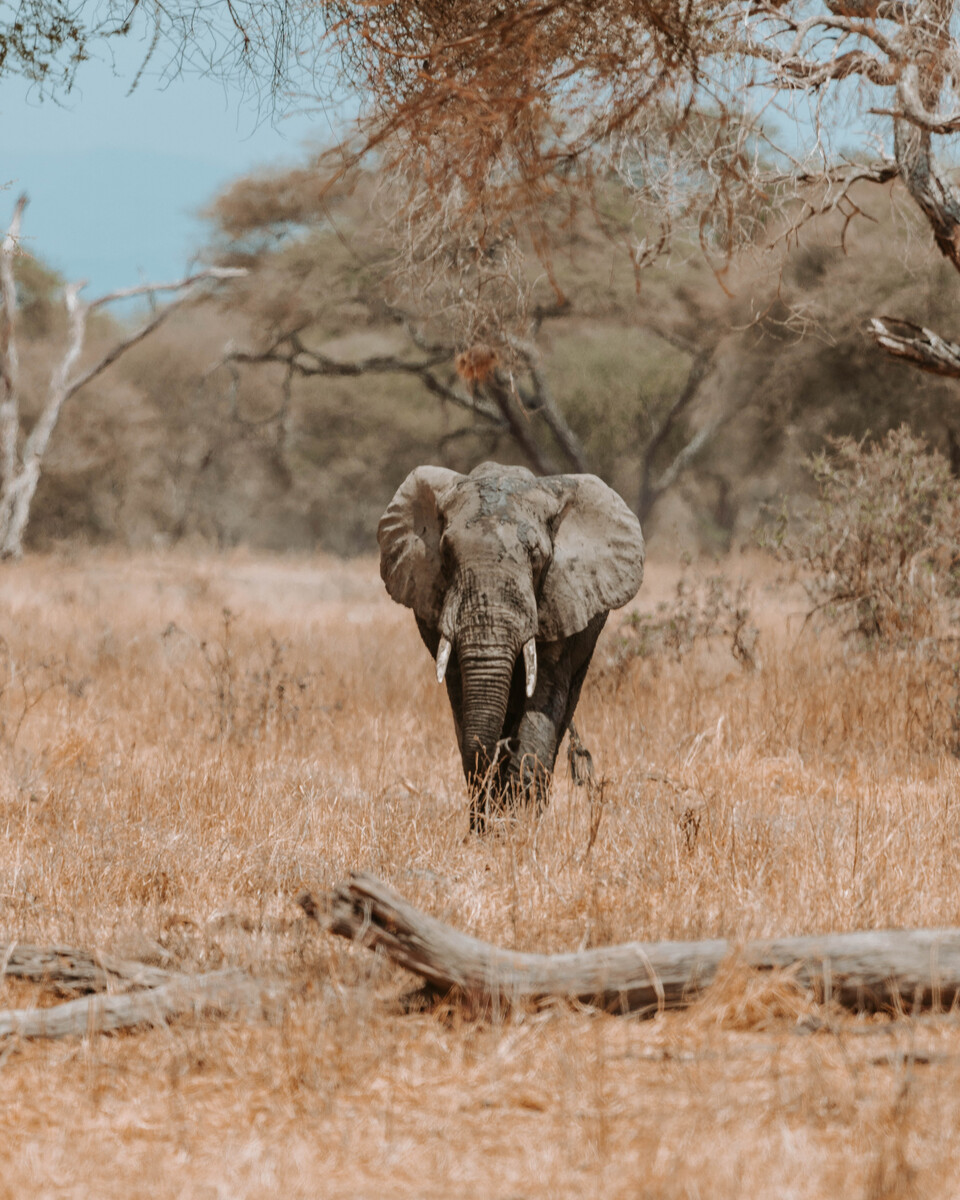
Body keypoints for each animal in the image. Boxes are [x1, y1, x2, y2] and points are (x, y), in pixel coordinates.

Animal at [376, 458, 643, 835]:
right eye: (445, 553)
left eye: (536, 556)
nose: (505, 743)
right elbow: (464, 705)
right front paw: (489, 830)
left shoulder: (559, 598)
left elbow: (543, 696)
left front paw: (518, 829)